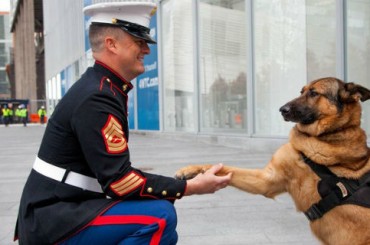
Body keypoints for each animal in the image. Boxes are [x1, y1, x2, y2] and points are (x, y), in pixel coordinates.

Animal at [175, 77, 370, 244]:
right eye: (301, 91)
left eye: (314, 93)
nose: (282, 109)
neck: (327, 135)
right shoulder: (266, 180)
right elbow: (225, 168)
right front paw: (191, 170)